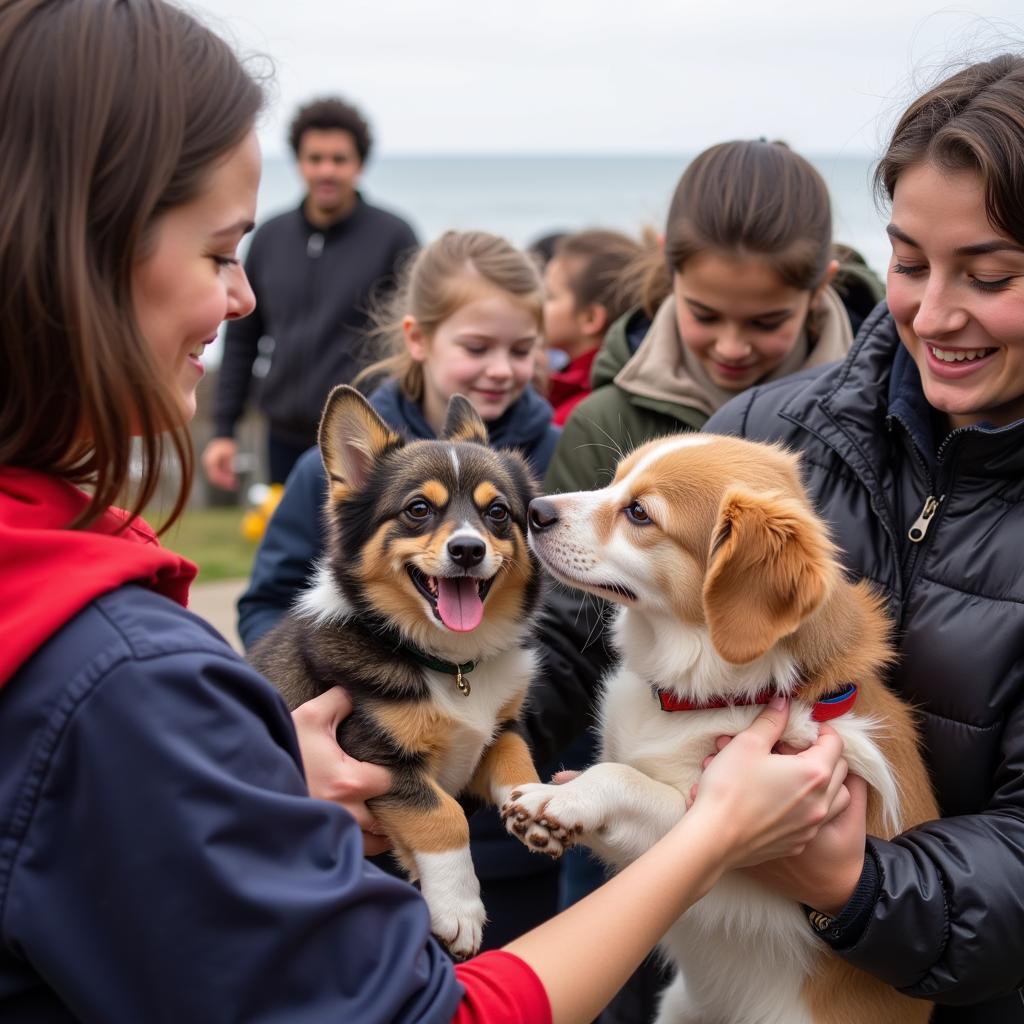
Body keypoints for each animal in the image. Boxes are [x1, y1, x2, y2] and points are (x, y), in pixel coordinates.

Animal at [250, 385, 544, 958]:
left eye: (498, 512)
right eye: (418, 510)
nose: (468, 549)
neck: (448, 661)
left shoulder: (499, 729)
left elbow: (516, 756)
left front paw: (544, 804)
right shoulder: (375, 755)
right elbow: (442, 816)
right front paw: (458, 909)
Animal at [501, 434, 937, 1024]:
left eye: (640, 513)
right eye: (614, 480)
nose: (534, 510)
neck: (699, 696)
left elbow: (626, 779)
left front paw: (564, 799)